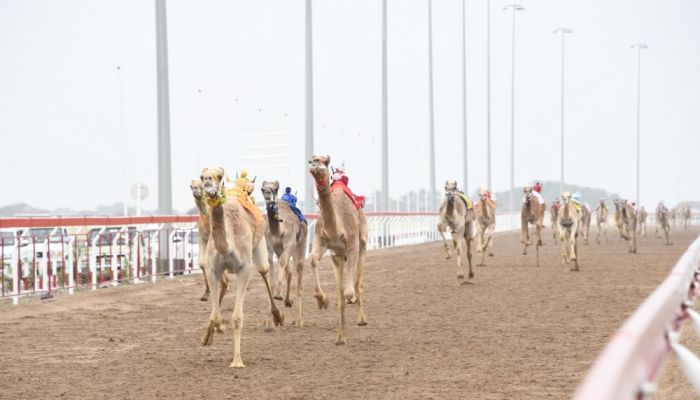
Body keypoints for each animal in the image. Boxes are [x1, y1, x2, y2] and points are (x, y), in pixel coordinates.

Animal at [197, 166, 282, 368]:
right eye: (202, 177)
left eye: (219, 176)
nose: (208, 182)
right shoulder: (212, 270)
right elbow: (215, 315)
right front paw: (214, 332)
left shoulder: (244, 269)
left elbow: (237, 317)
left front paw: (237, 361)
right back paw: (207, 336)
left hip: (259, 247)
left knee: (264, 271)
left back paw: (277, 317)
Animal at [262, 180, 308, 326]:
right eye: (262, 189)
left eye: (275, 189)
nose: (268, 193)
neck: (279, 230)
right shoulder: (270, 247)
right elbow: (270, 272)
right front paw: (270, 320)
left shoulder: (289, 244)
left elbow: (282, 263)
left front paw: (278, 294)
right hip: (282, 251)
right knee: (290, 271)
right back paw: (288, 303)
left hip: (300, 248)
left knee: (299, 280)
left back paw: (299, 320)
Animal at [308, 155, 370, 346]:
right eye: (310, 160)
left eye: (325, 161)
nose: (315, 163)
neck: (336, 227)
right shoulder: (325, 244)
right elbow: (312, 259)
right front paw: (322, 300)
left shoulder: (352, 245)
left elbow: (350, 290)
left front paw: (353, 300)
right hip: (338, 257)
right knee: (342, 294)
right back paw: (341, 337)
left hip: (362, 247)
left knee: (358, 284)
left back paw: (362, 318)